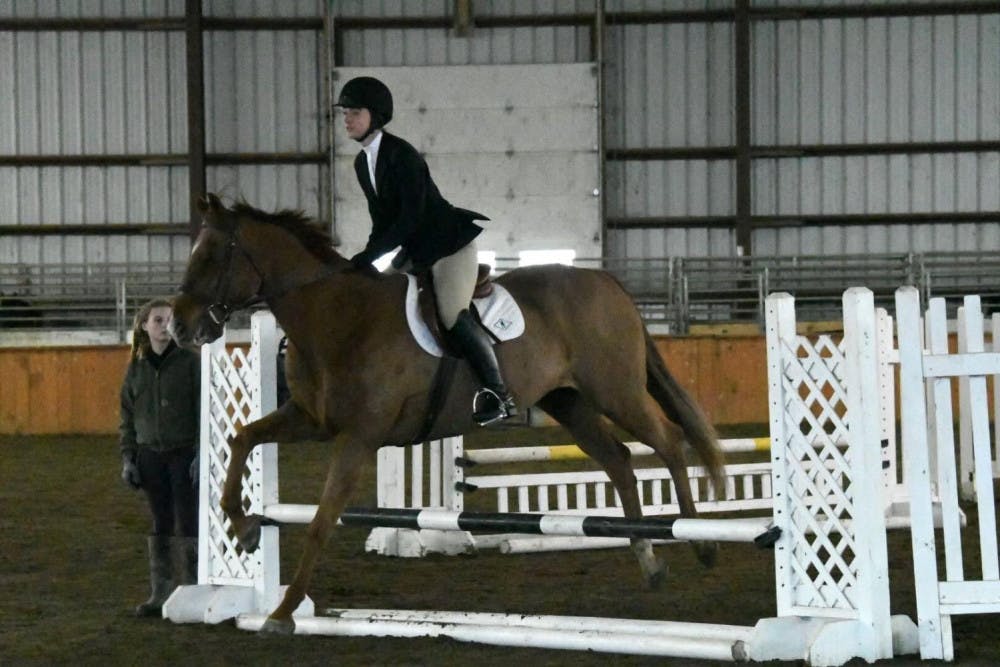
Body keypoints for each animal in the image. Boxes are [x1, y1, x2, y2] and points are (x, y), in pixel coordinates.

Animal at [169, 193, 726, 635]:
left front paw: (282, 613)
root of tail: (607, 281)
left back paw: (701, 544)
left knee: (669, 440)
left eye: (212, 255)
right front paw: (243, 528)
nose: (180, 327)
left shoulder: (359, 438)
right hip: (568, 401)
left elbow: (321, 521)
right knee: (619, 460)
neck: (336, 318)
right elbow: (242, 437)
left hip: (616, 390)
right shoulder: (311, 421)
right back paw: (649, 562)